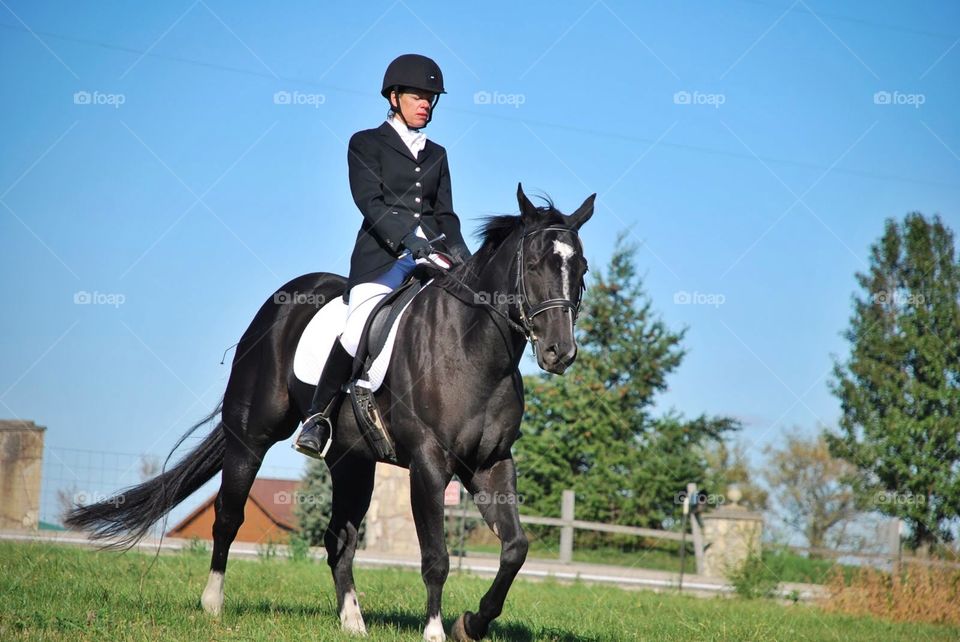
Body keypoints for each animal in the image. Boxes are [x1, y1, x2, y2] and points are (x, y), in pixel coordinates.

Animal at [66, 184, 595, 641]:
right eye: (534, 264)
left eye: (582, 267)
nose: (559, 352)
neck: (472, 349)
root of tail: (280, 303)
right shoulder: (429, 464)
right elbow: (436, 556)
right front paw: (435, 631)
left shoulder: (490, 465)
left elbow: (515, 548)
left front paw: (473, 623)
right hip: (250, 438)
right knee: (229, 516)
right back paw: (213, 604)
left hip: (351, 461)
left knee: (340, 539)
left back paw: (352, 622)